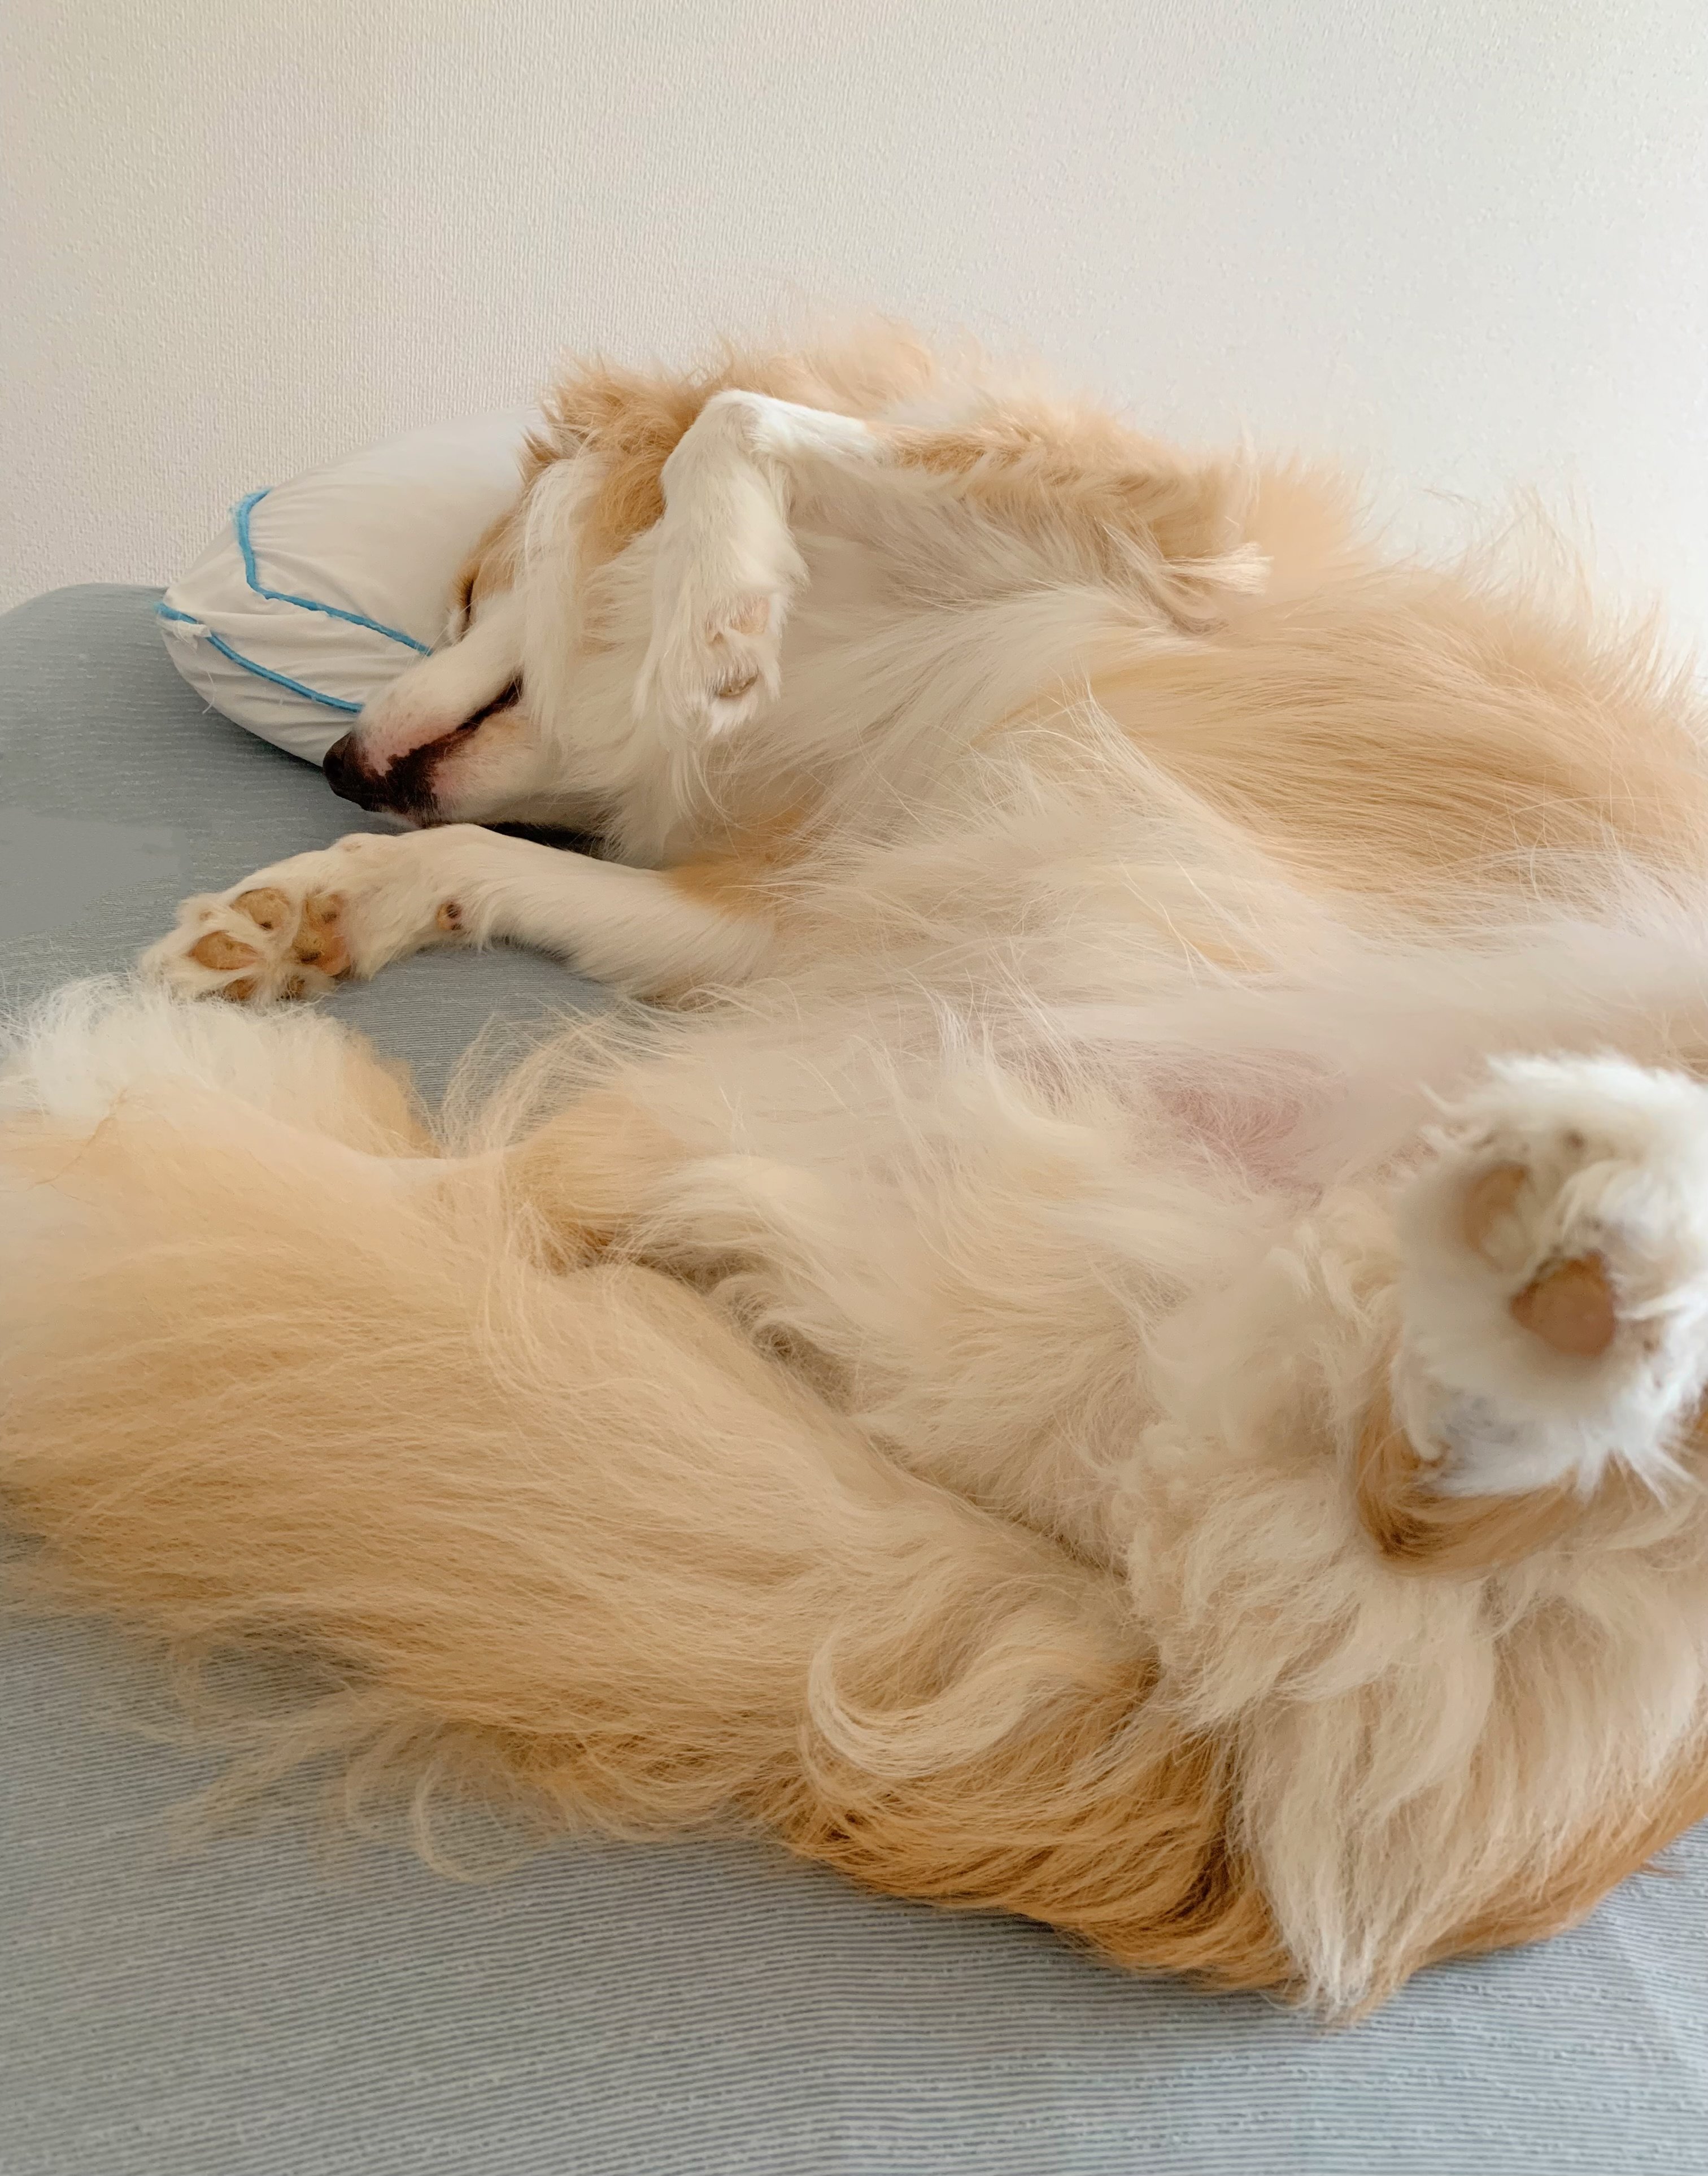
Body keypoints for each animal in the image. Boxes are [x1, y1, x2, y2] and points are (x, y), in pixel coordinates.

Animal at [7, 322, 1708, 2015]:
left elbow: (734, 429)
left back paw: (1584, 1212)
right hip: (807, 1136)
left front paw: (710, 626)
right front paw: (314, 905)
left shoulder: (1157, 540)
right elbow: (495, 860)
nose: (347, 769)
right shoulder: (776, 923)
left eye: (474, 590)